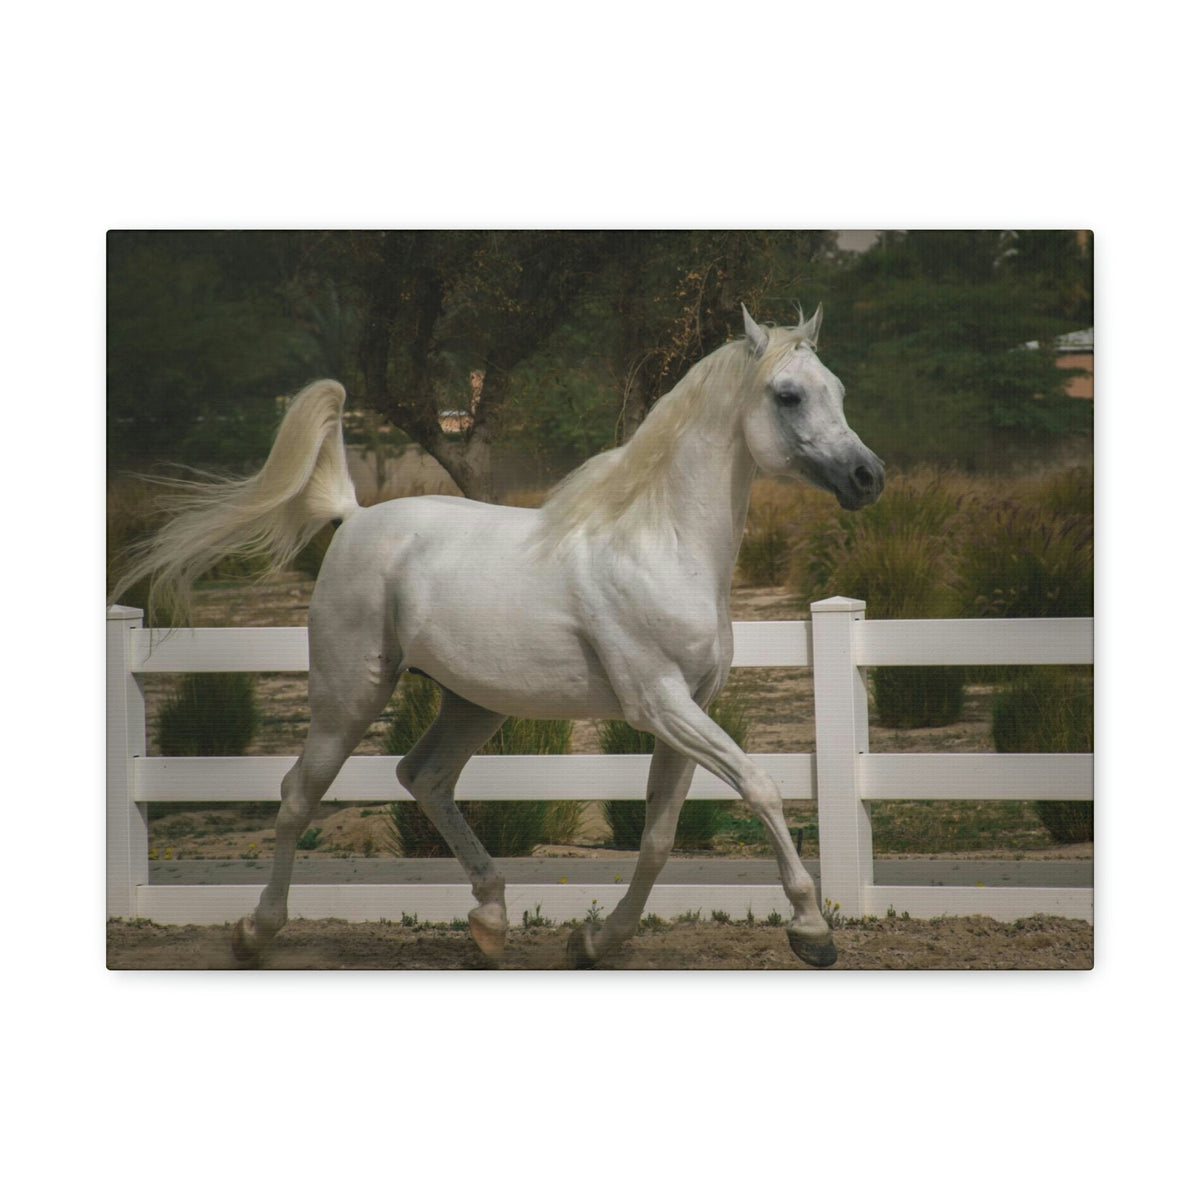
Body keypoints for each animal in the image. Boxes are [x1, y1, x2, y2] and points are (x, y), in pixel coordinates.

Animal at [115, 305, 884, 968]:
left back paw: (489, 919)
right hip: (350, 693)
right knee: (300, 792)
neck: (659, 544)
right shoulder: (659, 703)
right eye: (788, 394)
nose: (867, 477)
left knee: (422, 776)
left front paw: (594, 941)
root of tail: (355, 515)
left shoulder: (688, 709)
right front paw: (812, 932)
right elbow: (761, 787)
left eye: (840, 389)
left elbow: (660, 839)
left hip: (472, 702)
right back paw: (255, 933)